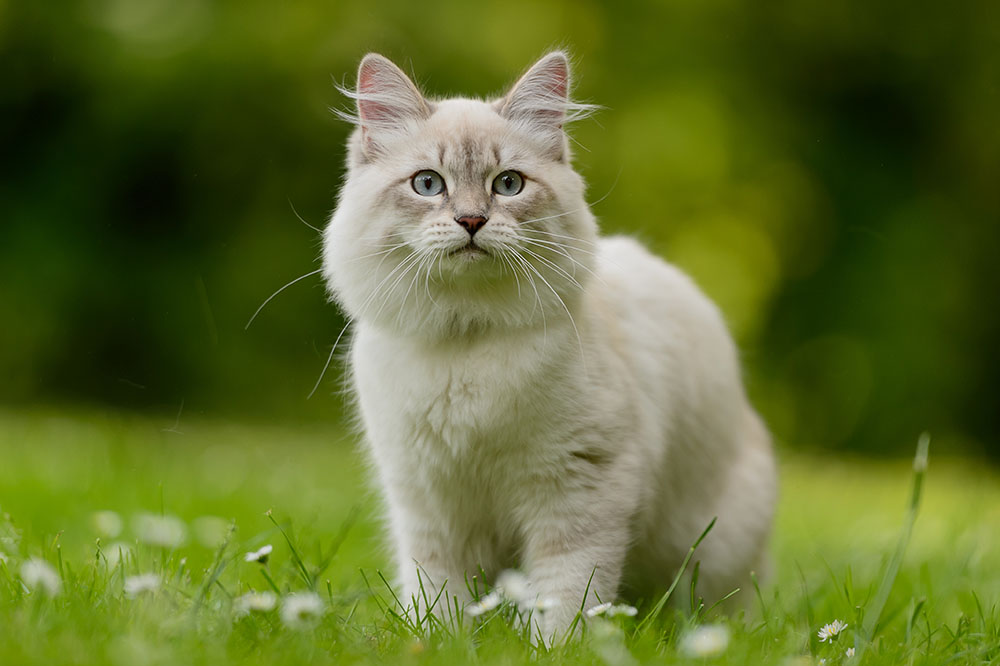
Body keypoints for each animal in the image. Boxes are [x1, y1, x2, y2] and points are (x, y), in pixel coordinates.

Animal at [324, 50, 776, 632]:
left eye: (508, 185)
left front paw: (551, 643)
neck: (466, 342)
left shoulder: (578, 491)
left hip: (712, 554)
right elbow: (440, 599)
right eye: (427, 185)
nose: (471, 220)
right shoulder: (430, 505)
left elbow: (564, 596)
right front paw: (440, 641)